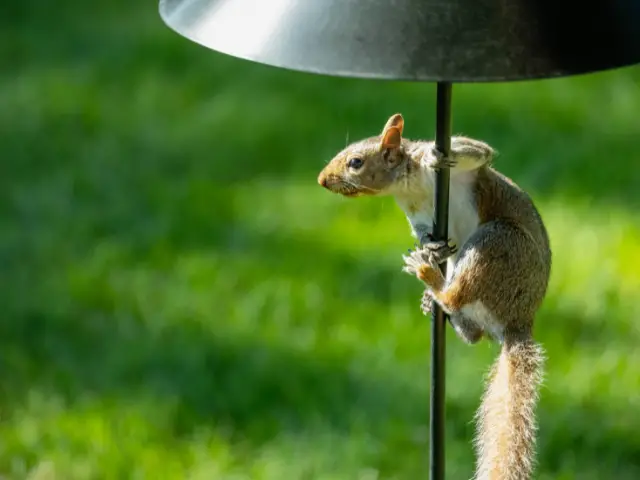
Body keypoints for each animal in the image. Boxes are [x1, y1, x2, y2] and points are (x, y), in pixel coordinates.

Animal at [318, 113, 552, 480]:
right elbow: (425, 233)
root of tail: (518, 321)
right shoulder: (418, 216)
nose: (322, 180)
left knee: (459, 295)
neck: (407, 187)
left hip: (498, 242)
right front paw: (431, 246)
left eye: (355, 162)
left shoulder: (467, 171)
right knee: (473, 331)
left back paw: (430, 278)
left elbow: (477, 151)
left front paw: (433, 156)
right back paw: (436, 298)